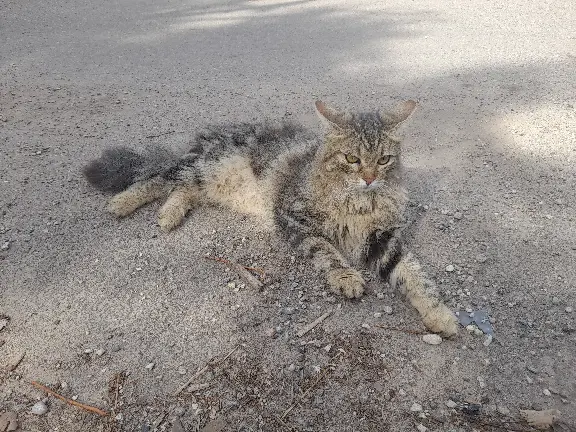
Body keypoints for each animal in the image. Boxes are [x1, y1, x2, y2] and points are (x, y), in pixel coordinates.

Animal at [82, 99, 460, 336]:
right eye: (352, 159)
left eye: (383, 160)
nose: (369, 178)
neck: (359, 202)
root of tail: (206, 135)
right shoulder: (292, 217)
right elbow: (326, 251)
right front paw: (345, 276)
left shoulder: (381, 236)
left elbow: (414, 274)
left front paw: (440, 313)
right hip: (203, 167)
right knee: (159, 176)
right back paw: (123, 202)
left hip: (210, 182)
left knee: (183, 190)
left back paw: (169, 214)